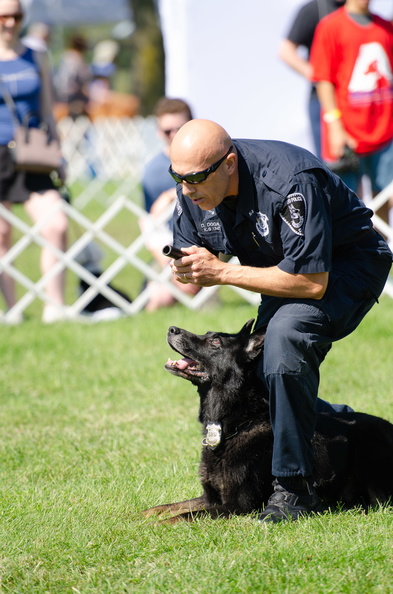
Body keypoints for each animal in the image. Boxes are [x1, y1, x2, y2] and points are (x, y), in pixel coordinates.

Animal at [142, 316, 392, 520]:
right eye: (207, 334)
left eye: (215, 342)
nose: (172, 329)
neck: (239, 423)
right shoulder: (210, 499)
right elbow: (167, 507)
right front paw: (138, 517)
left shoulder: (237, 506)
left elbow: (182, 516)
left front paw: (156, 527)